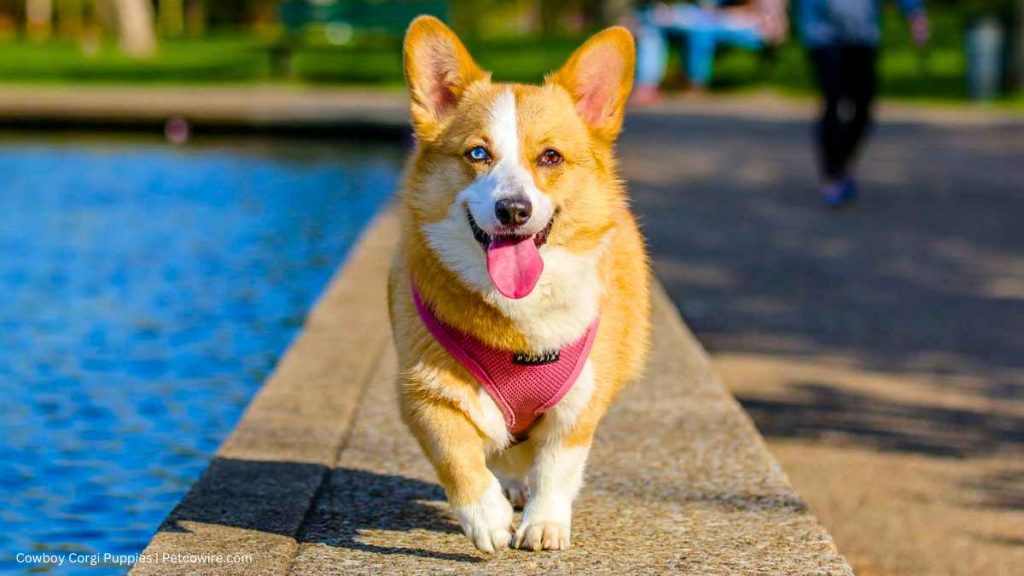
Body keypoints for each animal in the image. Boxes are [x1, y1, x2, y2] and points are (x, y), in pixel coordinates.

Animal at [387, 16, 651, 553]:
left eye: (550, 157)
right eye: (477, 153)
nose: (513, 210)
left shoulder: (580, 403)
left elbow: (556, 466)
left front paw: (544, 524)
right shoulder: (423, 393)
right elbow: (457, 456)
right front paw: (486, 517)